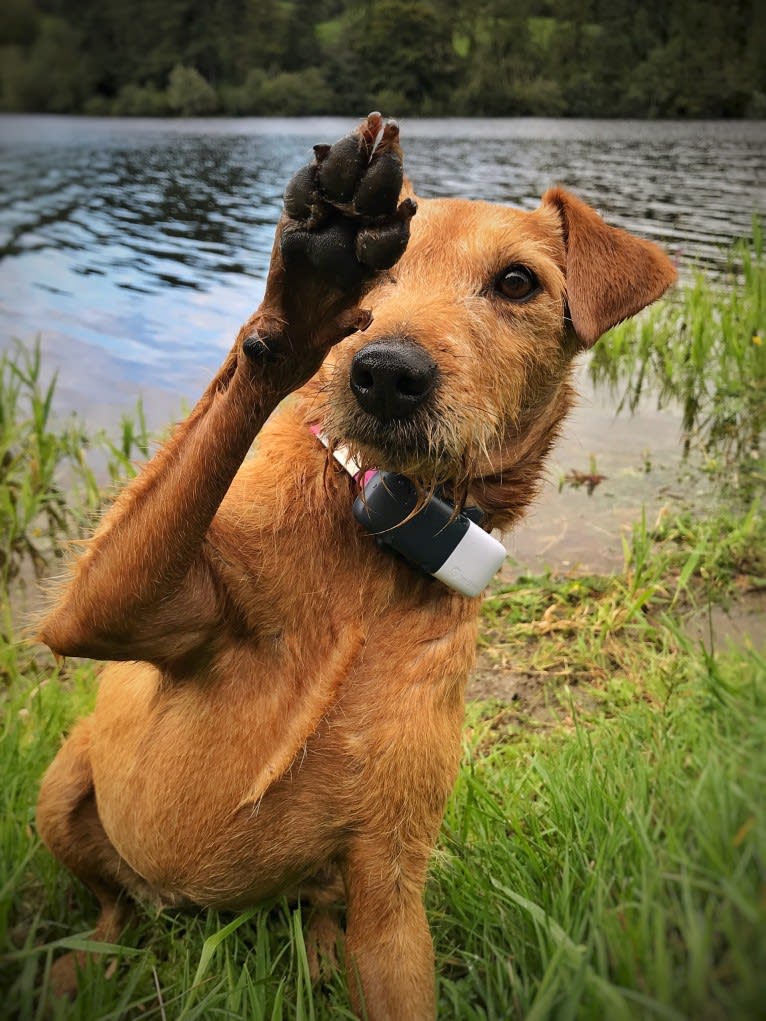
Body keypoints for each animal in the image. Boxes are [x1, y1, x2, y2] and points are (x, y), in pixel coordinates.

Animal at [36, 113, 678, 1021]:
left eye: (517, 282)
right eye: (383, 273)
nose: (386, 371)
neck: (373, 541)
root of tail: (189, 907)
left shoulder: (391, 877)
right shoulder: (108, 611)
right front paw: (306, 291)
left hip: (331, 881)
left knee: (313, 906)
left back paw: (318, 950)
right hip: (60, 791)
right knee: (110, 902)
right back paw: (81, 961)